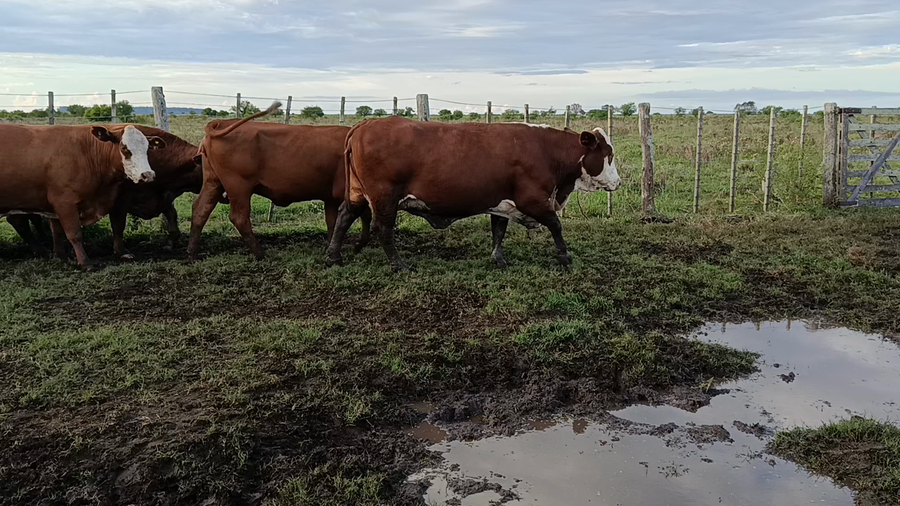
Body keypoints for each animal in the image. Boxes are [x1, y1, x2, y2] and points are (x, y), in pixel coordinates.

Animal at [3, 127, 204, 261]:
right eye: (125, 148)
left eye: (147, 148)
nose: (147, 174)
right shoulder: (120, 199)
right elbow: (117, 225)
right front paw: (120, 251)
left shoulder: (161, 196)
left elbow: (172, 216)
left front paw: (171, 240)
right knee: (19, 221)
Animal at [187, 104, 371, 261]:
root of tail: (221, 122)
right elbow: (363, 215)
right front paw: (357, 245)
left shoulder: (331, 198)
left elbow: (332, 222)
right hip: (238, 187)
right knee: (239, 217)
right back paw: (261, 253)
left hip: (213, 183)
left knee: (200, 210)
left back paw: (192, 254)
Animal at [325, 117, 621, 272]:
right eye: (609, 154)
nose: (618, 182)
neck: (547, 151)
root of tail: (365, 124)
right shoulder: (533, 200)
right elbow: (556, 226)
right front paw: (564, 256)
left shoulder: (502, 202)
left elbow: (499, 230)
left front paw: (498, 259)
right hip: (384, 198)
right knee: (383, 229)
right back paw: (399, 265)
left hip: (358, 194)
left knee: (344, 216)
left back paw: (334, 255)